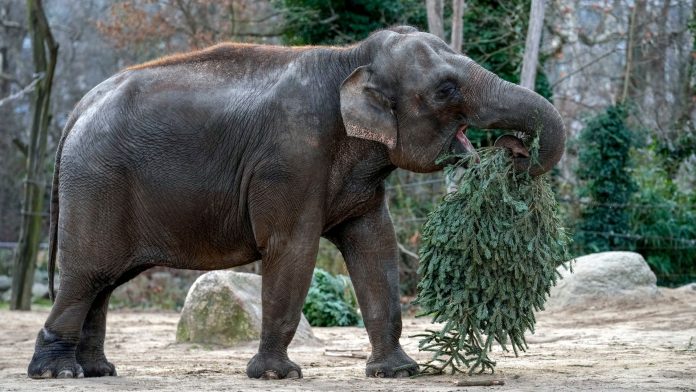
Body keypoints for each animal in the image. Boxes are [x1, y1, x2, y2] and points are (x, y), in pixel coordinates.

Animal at [27, 25, 564, 380]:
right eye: (446, 89)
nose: (514, 151)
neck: (351, 58)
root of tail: (78, 108)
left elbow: (376, 248)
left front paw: (398, 373)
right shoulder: (291, 158)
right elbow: (294, 249)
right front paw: (276, 375)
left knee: (103, 283)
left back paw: (99, 371)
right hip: (97, 184)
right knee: (86, 275)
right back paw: (58, 375)